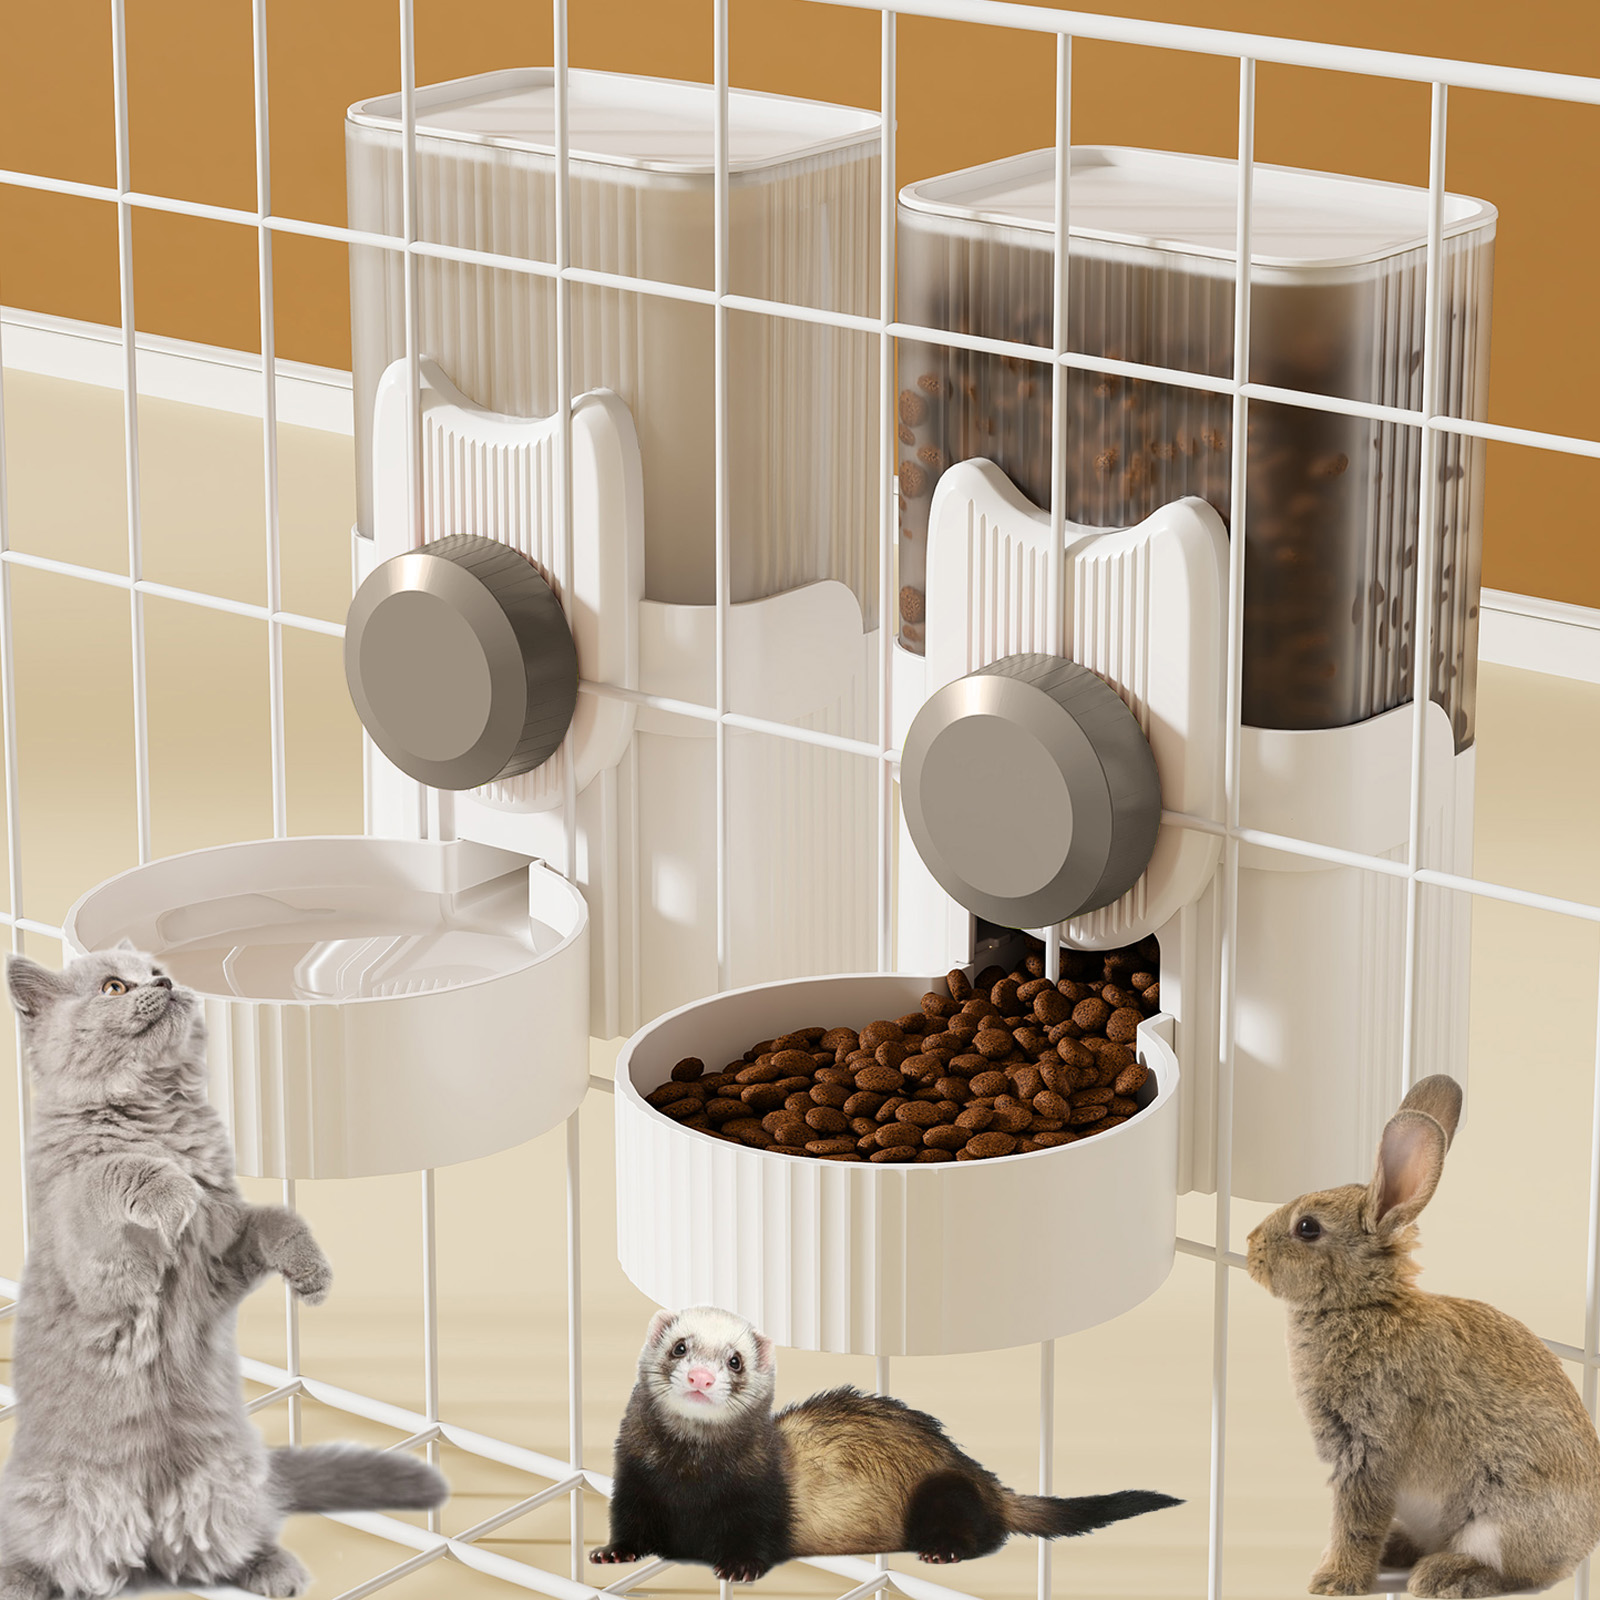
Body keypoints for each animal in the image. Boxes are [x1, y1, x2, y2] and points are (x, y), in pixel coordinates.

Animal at [1247, 1074, 1600, 1598]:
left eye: (1307, 1228)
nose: (1250, 1248)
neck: (1363, 1305)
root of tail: (1585, 1540)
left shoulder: (1371, 1445)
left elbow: (1357, 1520)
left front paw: (1334, 1580)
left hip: (1499, 1515)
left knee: (1520, 1572)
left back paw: (1445, 1575)